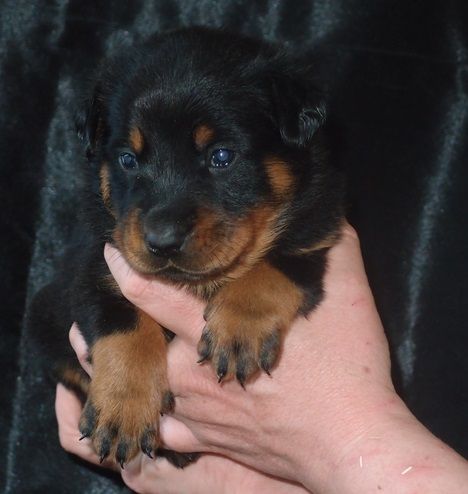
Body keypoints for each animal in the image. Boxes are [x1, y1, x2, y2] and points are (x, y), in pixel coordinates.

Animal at [30, 28, 344, 470]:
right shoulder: (96, 263)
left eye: (221, 156)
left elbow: (271, 269)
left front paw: (239, 329)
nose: (162, 241)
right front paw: (123, 407)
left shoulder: (316, 234)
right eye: (127, 159)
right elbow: (122, 327)